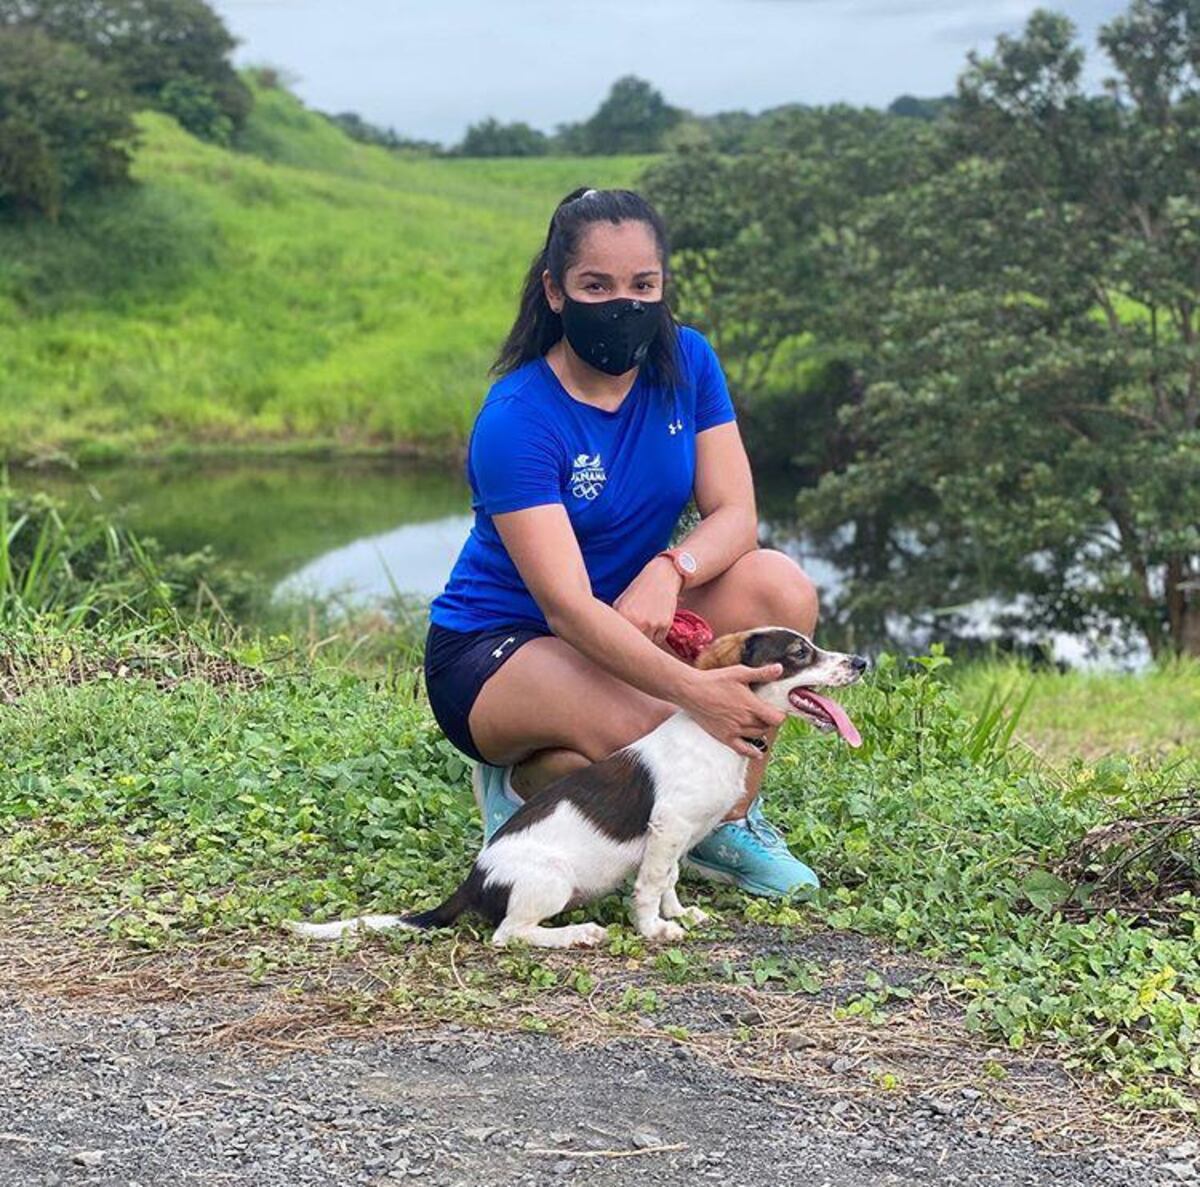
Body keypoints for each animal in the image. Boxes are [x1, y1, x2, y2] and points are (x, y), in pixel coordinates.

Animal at [292, 624, 873, 950]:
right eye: (799, 653)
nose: (862, 661)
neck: (711, 733)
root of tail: (474, 881)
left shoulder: (678, 838)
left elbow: (670, 880)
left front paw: (678, 913)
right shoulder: (667, 828)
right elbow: (650, 885)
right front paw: (654, 929)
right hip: (551, 881)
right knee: (509, 936)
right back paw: (578, 934)